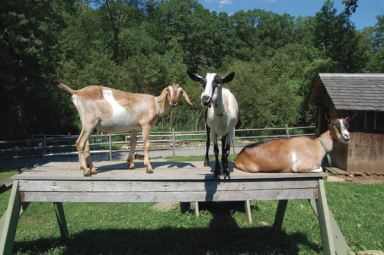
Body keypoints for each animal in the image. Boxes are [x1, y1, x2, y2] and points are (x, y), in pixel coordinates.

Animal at [56, 82, 192, 176]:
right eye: (168, 90)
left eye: (180, 92)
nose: (173, 102)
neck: (156, 104)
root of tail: (77, 92)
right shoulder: (145, 125)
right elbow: (146, 144)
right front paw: (148, 167)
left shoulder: (134, 128)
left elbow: (132, 144)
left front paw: (130, 164)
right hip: (89, 121)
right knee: (80, 143)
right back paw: (85, 170)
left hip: (88, 124)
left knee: (86, 145)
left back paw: (92, 169)